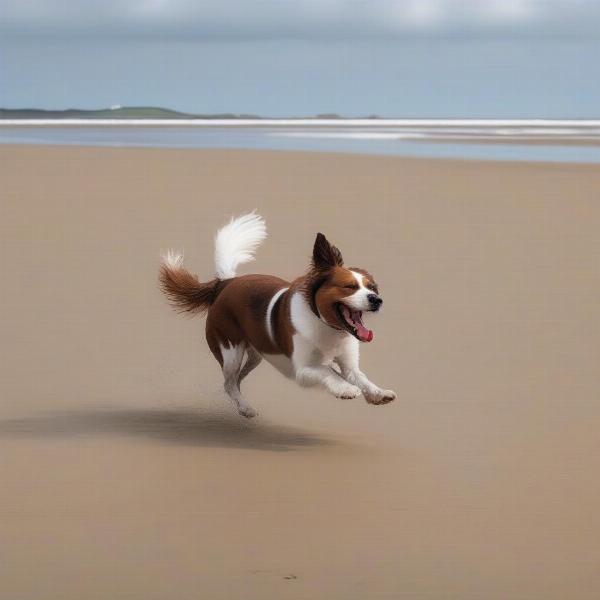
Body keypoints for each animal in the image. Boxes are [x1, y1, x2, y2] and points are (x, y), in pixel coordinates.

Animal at [157, 214, 396, 418]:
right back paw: (245, 408)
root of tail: (226, 283)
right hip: (231, 351)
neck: (326, 325)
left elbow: (359, 377)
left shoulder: (349, 364)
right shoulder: (302, 370)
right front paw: (345, 388)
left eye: (372, 288)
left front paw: (377, 393)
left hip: (255, 354)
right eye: (349, 287)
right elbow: (327, 371)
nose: (376, 299)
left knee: (237, 380)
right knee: (229, 382)